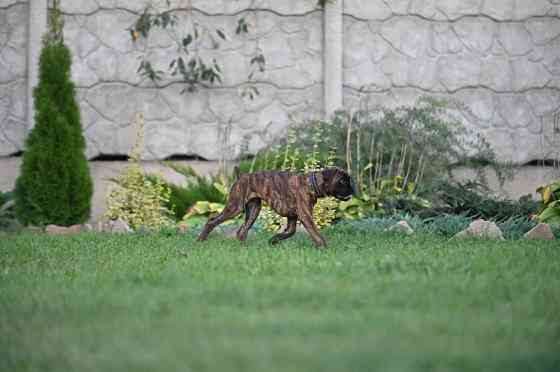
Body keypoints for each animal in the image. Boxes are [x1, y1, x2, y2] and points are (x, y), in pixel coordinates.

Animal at [198, 168, 354, 248]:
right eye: (342, 181)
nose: (352, 189)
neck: (311, 183)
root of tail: (241, 176)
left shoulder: (292, 220)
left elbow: (289, 233)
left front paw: (273, 240)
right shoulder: (306, 217)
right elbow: (317, 234)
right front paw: (325, 248)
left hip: (254, 210)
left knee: (242, 230)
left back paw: (243, 248)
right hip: (235, 207)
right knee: (212, 220)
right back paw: (200, 240)